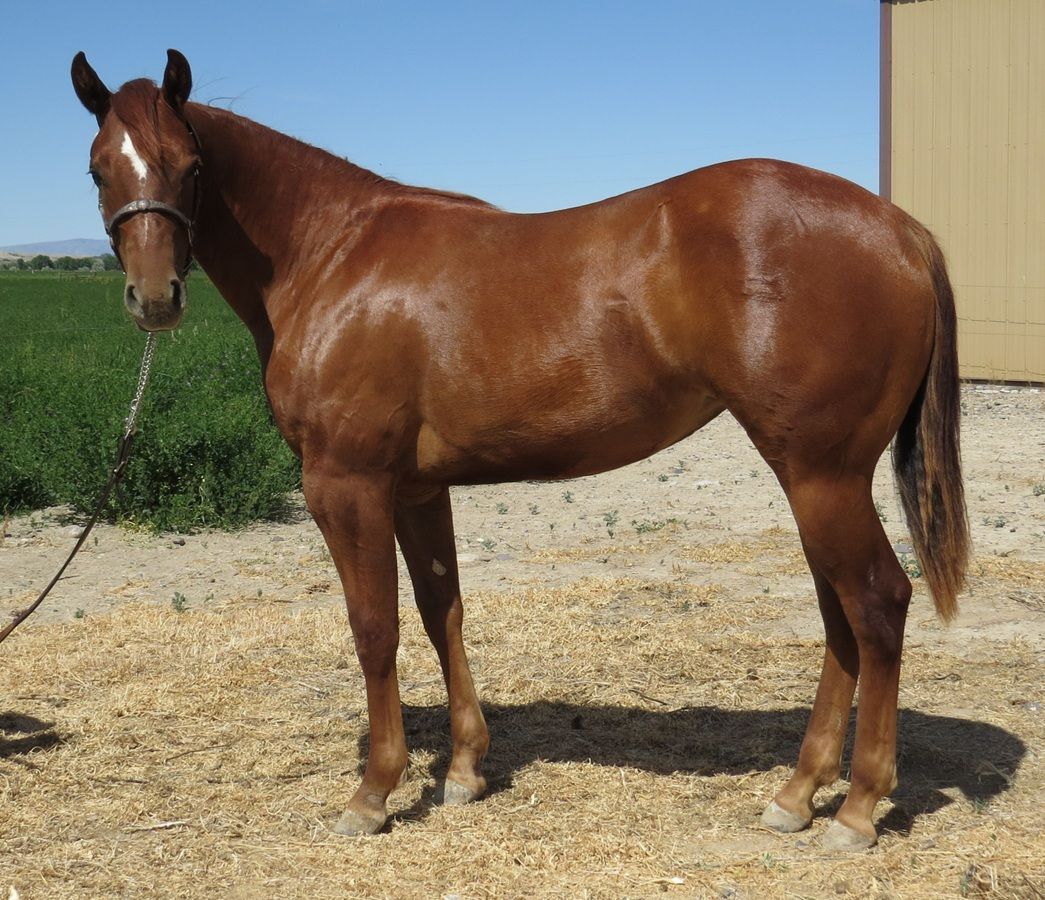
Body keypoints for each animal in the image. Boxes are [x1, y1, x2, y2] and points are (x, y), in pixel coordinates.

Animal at [71, 50, 968, 850]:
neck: (330, 255)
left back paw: (856, 809)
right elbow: (442, 610)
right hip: (811, 478)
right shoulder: (416, 489)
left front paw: (374, 792)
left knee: (877, 603)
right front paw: (465, 769)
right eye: (98, 169)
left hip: (822, 475)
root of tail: (899, 228)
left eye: (190, 166)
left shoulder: (345, 483)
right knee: (839, 617)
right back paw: (796, 793)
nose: (154, 299)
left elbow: (374, 627)